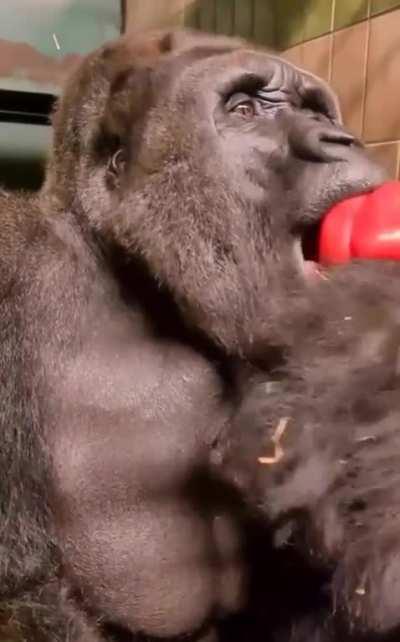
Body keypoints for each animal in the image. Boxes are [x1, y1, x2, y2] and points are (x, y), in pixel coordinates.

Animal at [0, 28, 389, 641]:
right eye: (245, 110)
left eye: (315, 110)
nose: (341, 140)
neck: (137, 287)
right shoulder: (13, 269)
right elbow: (19, 590)